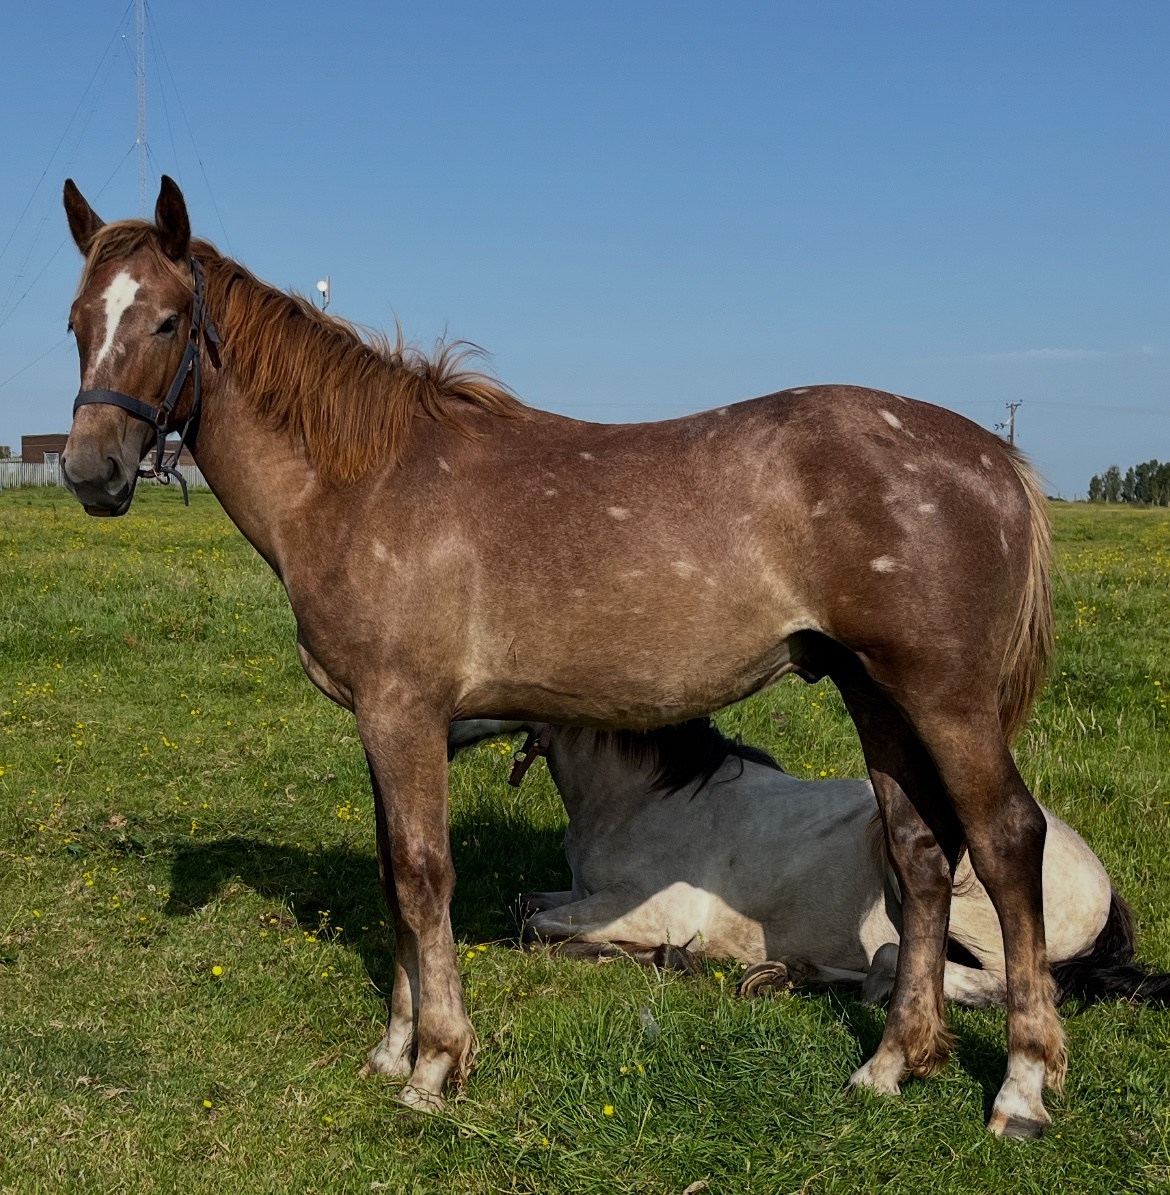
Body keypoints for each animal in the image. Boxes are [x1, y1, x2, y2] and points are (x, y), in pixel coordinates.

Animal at [60, 175, 1061, 1135]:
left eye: (166, 320)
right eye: (77, 324)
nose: (90, 473)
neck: (361, 483)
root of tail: (997, 457)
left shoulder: (402, 712)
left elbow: (422, 875)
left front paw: (435, 1064)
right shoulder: (381, 722)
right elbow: (392, 874)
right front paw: (393, 1047)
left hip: (947, 702)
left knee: (1008, 841)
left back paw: (1020, 1086)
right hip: (876, 695)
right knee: (921, 856)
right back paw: (892, 1063)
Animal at [449, 719, 1170, 1009]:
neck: (645, 796)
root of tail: (1103, 888)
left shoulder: (654, 907)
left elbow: (535, 930)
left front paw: (662, 956)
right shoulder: (577, 891)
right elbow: (524, 907)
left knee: (952, 974)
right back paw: (784, 974)